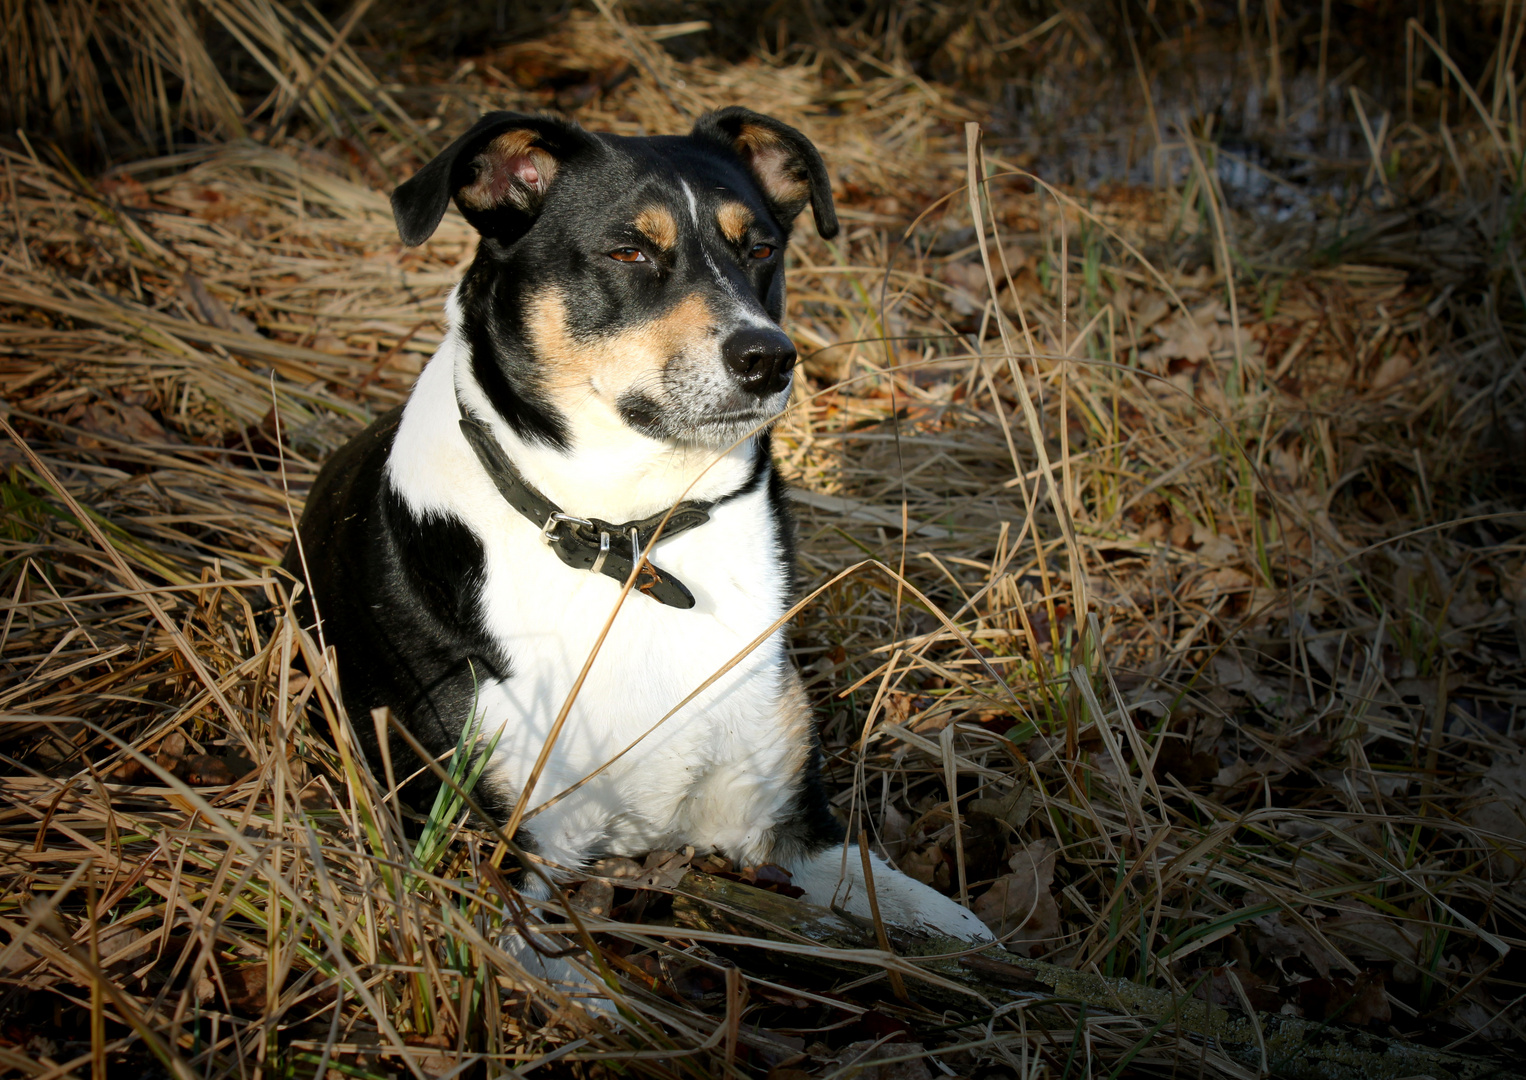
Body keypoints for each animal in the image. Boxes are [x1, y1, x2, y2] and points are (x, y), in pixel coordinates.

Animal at [285, 105, 994, 957]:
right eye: (629, 251)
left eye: (760, 248)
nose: (768, 358)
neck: (629, 536)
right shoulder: (501, 864)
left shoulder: (791, 831)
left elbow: (943, 922)